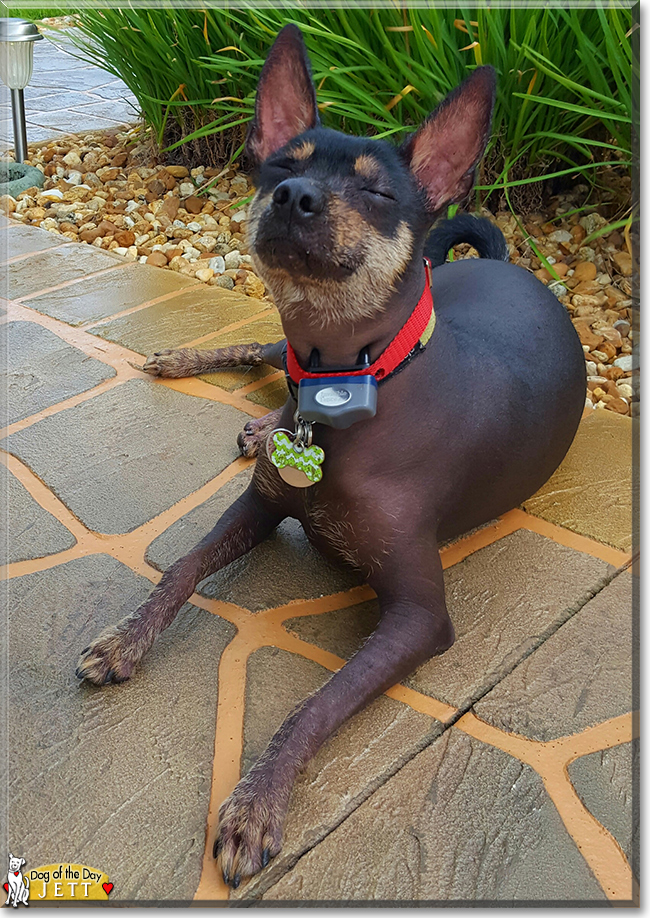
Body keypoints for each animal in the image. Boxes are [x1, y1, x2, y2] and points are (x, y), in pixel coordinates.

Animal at [74, 25, 584, 892]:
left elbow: (320, 701)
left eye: (379, 194)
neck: (345, 388)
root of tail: (504, 263)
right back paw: (207, 379)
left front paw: (256, 804)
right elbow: (182, 567)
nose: (294, 197)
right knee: (264, 351)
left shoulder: (418, 616)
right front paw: (126, 638)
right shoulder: (259, 504)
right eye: (282, 163)